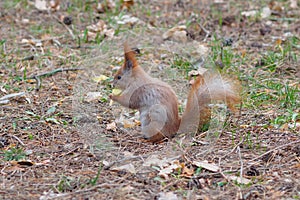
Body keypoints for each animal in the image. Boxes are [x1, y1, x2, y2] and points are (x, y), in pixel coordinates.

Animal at [109, 42, 240, 142]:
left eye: (119, 77)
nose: (112, 84)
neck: (135, 79)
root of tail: (175, 128)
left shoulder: (135, 90)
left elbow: (128, 102)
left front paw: (112, 96)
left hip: (153, 120)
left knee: (159, 136)